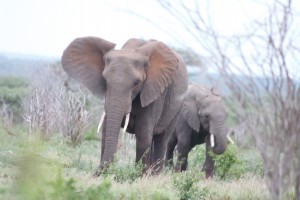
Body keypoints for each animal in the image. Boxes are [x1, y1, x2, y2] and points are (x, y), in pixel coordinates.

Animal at [60, 36, 188, 174]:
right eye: (105, 80)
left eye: (137, 83)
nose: (96, 173)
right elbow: (106, 131)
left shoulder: (154, 92)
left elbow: (143, 134)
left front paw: (139, 176)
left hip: (176, 107)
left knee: (162, 139)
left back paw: (154, 175)